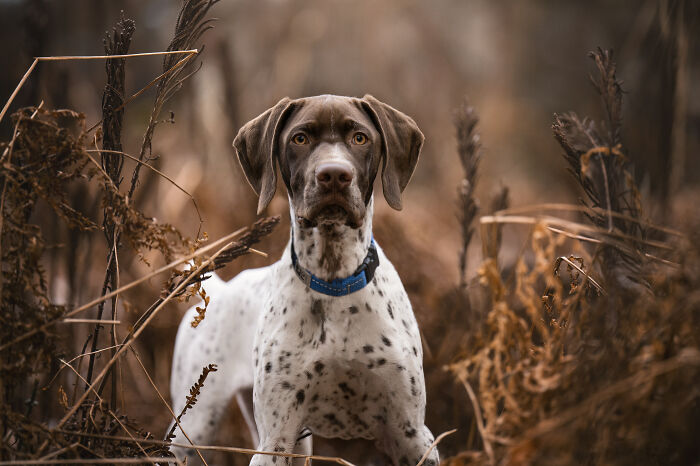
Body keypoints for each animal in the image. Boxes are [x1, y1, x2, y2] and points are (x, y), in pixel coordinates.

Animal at [171, 94, 438, 466]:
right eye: (300, 139)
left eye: (360, 138)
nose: (334, 175)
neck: (334, 279)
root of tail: (222, 289)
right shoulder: (275, 440)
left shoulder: (412, 435)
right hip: (194, 429)